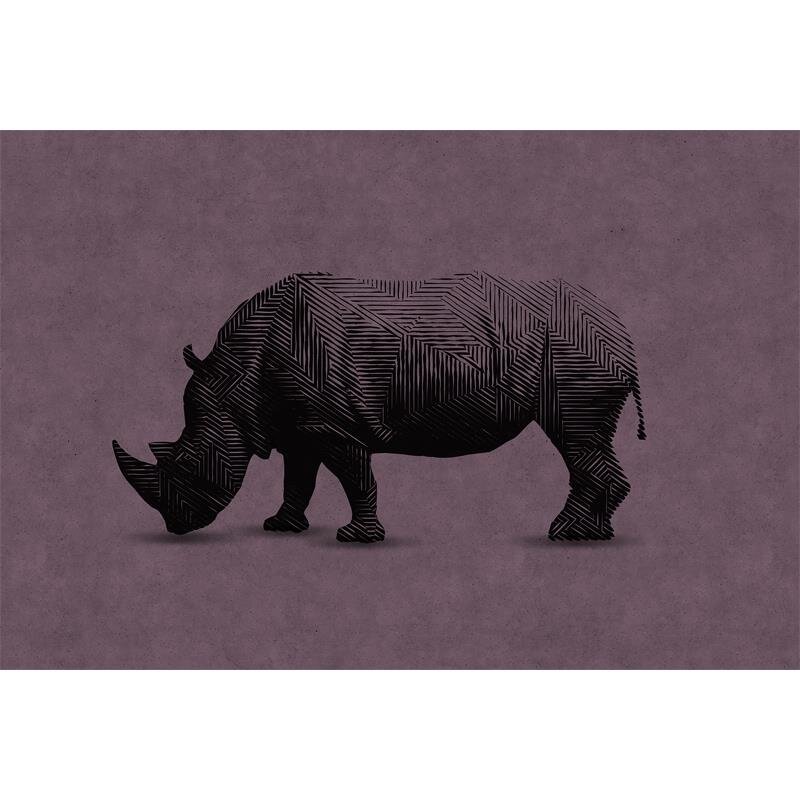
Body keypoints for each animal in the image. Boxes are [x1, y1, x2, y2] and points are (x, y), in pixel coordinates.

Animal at [113, 272, 646, 542]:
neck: (234, 379)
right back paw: (597, 534)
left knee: (575, 435)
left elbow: (356, 477)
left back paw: (564, 533)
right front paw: (280, 527)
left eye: (188, 464)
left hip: (574, 352)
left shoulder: (332, 426)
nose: (176, 527)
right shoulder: (298, 426)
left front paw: (356, 537)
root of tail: (618, 323)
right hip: (579, 347)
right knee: (589, 440)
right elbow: (298, 478)